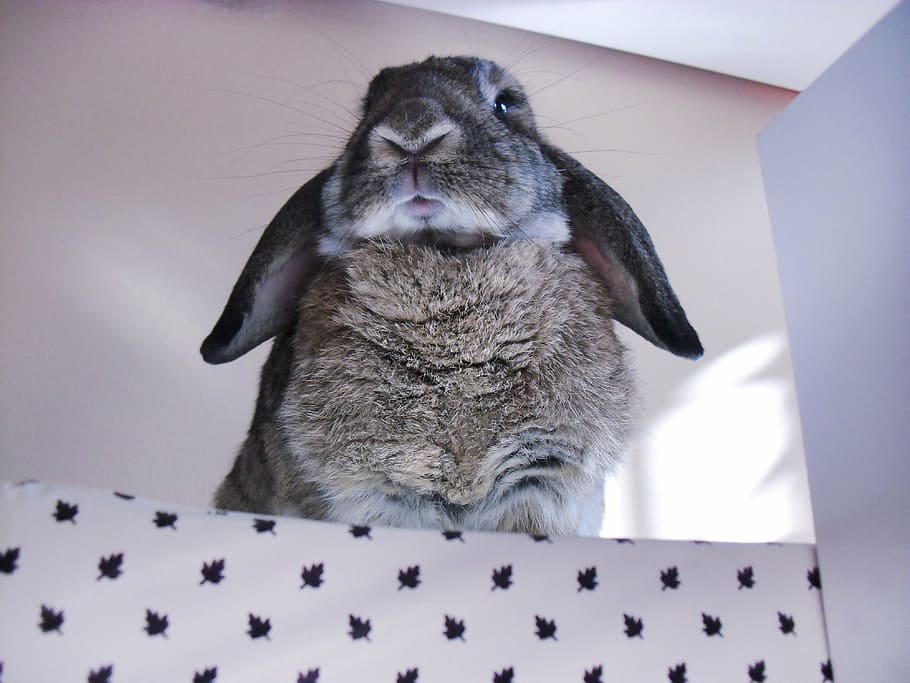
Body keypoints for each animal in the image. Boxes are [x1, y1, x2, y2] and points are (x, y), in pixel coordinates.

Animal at [201, 53, 704, 536]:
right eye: (367, 109)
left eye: (504, 105)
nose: (412, 132)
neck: (446, 256)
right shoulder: (372, 487)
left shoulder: (540, 479)